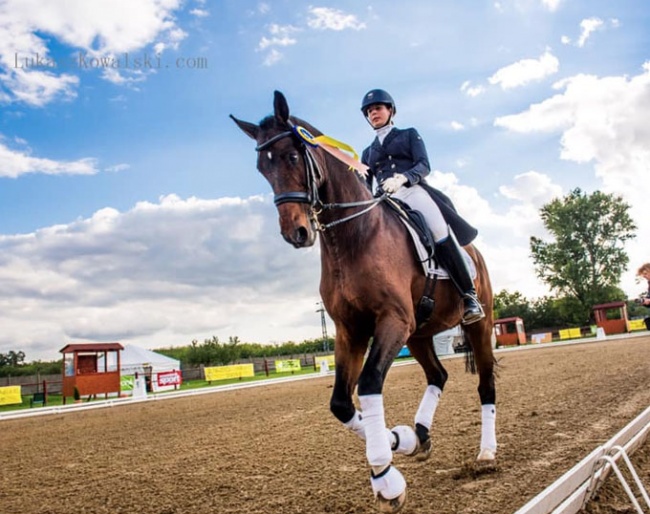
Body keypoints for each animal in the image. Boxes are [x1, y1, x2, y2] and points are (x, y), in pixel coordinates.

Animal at [230, 90, 494, 510]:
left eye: (292, 156)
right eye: (261, 167)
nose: (296, 233)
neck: (353, 237)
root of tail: (473, 250)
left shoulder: (391, 321)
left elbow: (369, 384)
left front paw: (386, 480)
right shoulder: (349, 330)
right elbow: (341, 403)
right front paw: (398, 440)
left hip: (478, 323)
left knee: (485, 386)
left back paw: (486, 455)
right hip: (419, 334)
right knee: (438, 375)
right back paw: (419, 435)